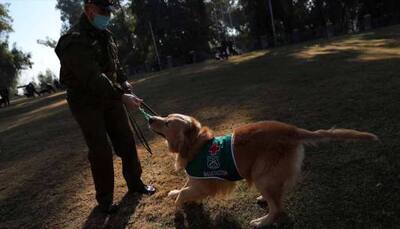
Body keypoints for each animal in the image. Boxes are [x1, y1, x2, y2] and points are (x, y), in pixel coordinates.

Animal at [148, 113, 378, 228]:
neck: (194, 143)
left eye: (167, 122)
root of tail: (292, 131)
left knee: (277, 209)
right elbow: (184, 187)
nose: (149, 119)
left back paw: (262, 222)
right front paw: (176, 193)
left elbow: (184, 195)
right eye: (164, 117)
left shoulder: (205, 184)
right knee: (278, 197)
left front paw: (178, 212)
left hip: (261, 175)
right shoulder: (195, 178)